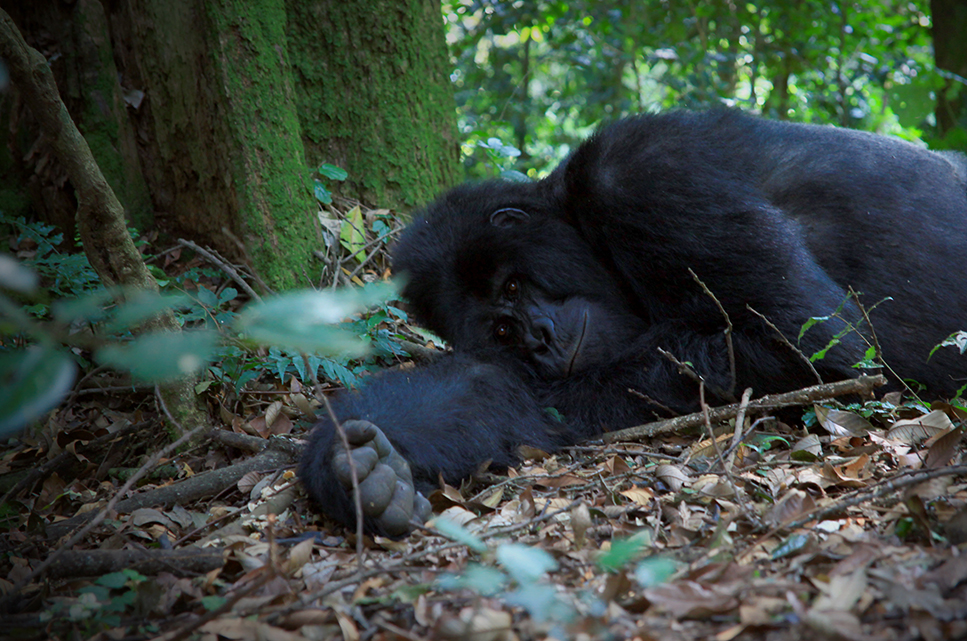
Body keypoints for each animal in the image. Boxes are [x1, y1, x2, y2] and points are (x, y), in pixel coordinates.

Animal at [300, 110, 967, 536]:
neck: (577, 218)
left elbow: (813, 343)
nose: (540, 338)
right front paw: (353, 466)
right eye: (501, 331)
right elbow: (506, 393)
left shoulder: (642, 177)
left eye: (512, 286)